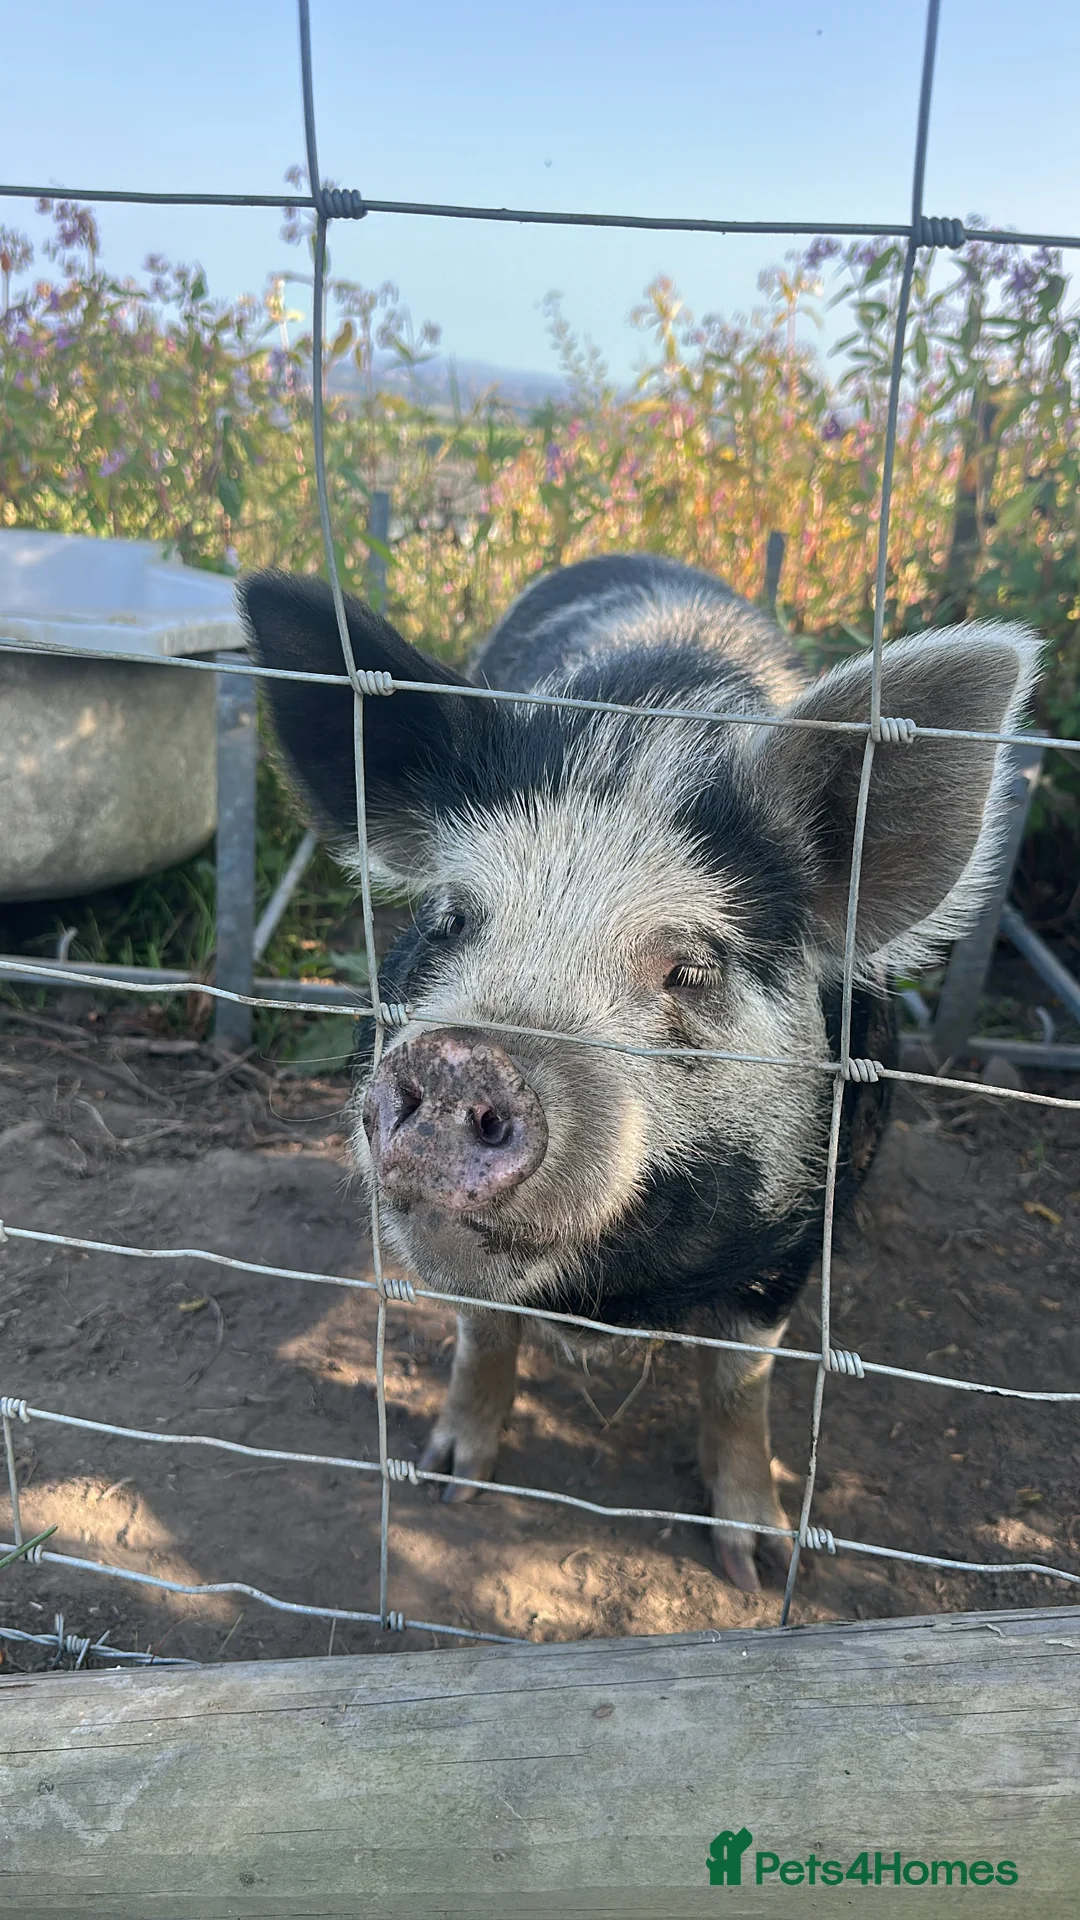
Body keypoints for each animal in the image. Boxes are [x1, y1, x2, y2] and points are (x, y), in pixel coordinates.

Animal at [241, 555, 1036, 1590]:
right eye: (452, 917)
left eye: (691, 970)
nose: (462, 1059)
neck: (615, 1296)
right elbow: (481, 1334)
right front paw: (449, 1483)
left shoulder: (798, 1240)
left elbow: (741, 1385)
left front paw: (757, 1564)